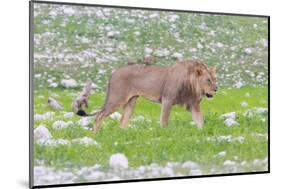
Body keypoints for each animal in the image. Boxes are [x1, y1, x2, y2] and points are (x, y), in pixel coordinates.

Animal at [76, 59, 217, 133]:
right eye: (208, 80)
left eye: (215, 79)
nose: (216, 89)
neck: (192, 85)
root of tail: (114, 73)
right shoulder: (167, 99)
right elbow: (164, 120)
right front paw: (164, 134)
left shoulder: (194, 104)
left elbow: (200, 120)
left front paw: (203, 134)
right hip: (117, 99)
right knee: (99, 115)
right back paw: (95, 134)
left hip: (131, 102)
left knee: (122, 121)